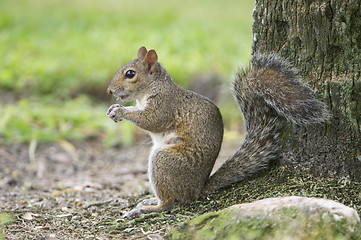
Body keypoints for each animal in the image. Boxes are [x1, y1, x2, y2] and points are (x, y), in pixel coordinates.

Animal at [106, 46, 330, 218]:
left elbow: (151, 121)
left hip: (165, 161)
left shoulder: (165, 106)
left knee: (170, 202)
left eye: (130, 74)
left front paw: (121, 111)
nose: (109, 91)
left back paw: (147, 209)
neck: (152, 88)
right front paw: (114, 109)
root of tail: (197, 190)